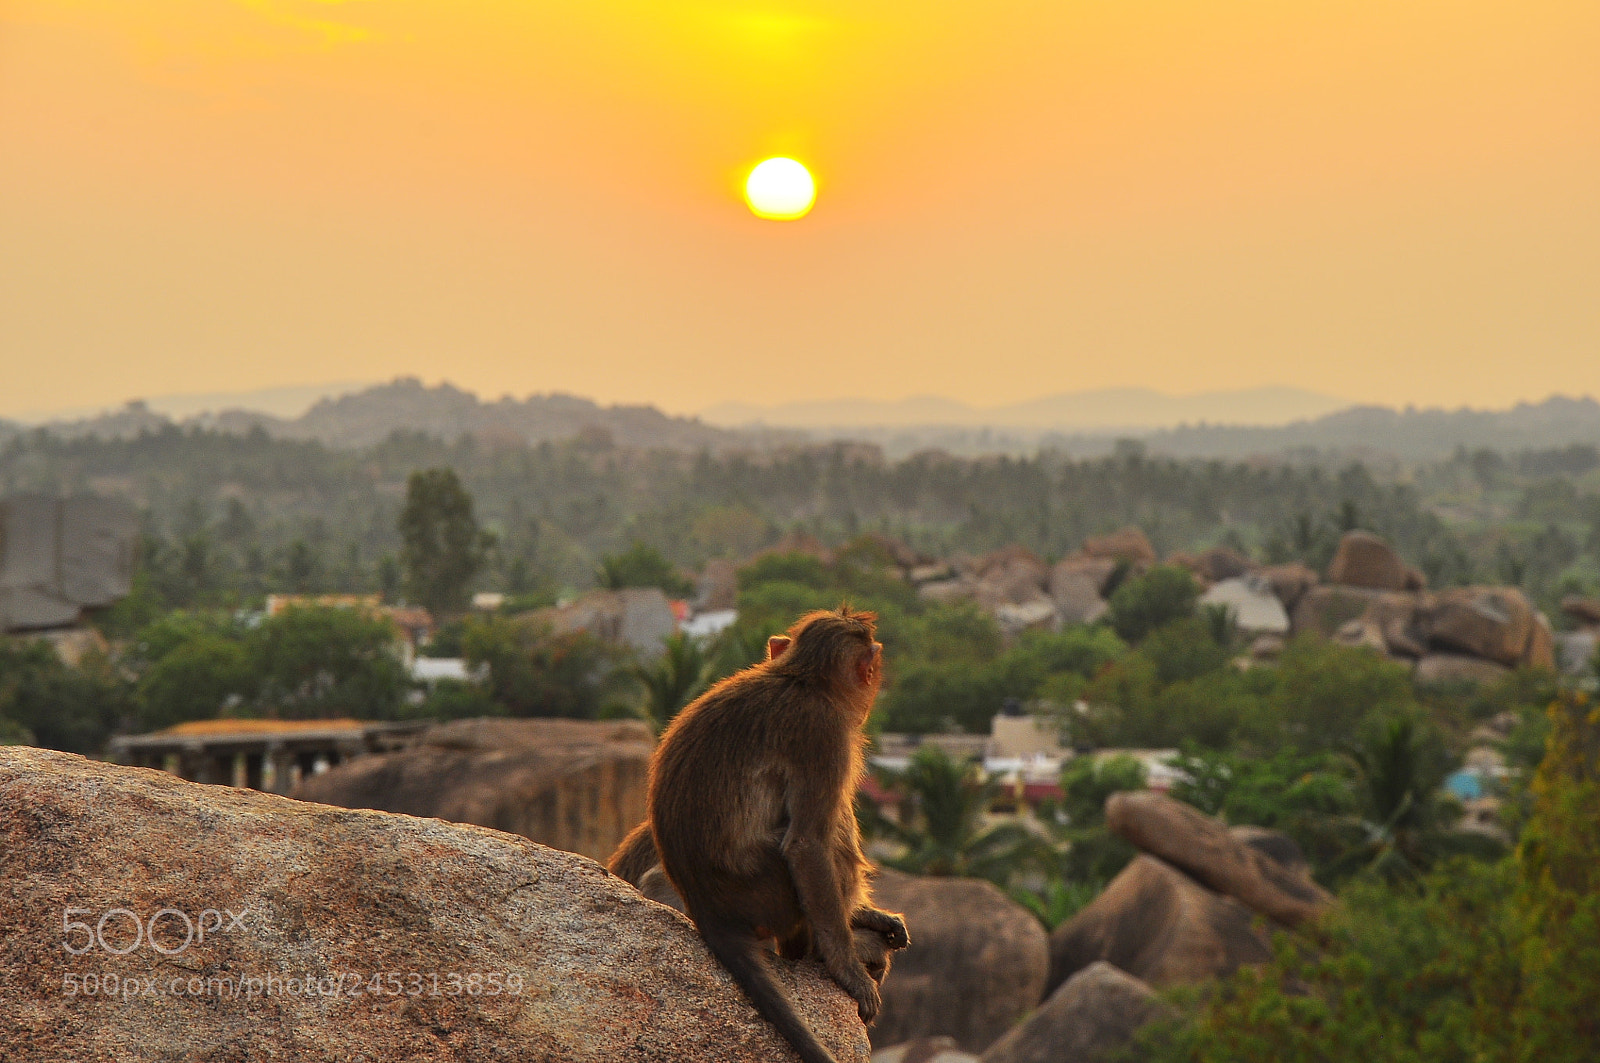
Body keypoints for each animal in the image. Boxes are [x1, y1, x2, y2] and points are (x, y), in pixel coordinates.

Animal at [607, 608, 909, 1063]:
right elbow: (806, 844)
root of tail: (710, 914)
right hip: (769, 896)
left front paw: (872, 917)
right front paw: (847, 971)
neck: (799, 678)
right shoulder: (826, 735)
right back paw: (829, 953)